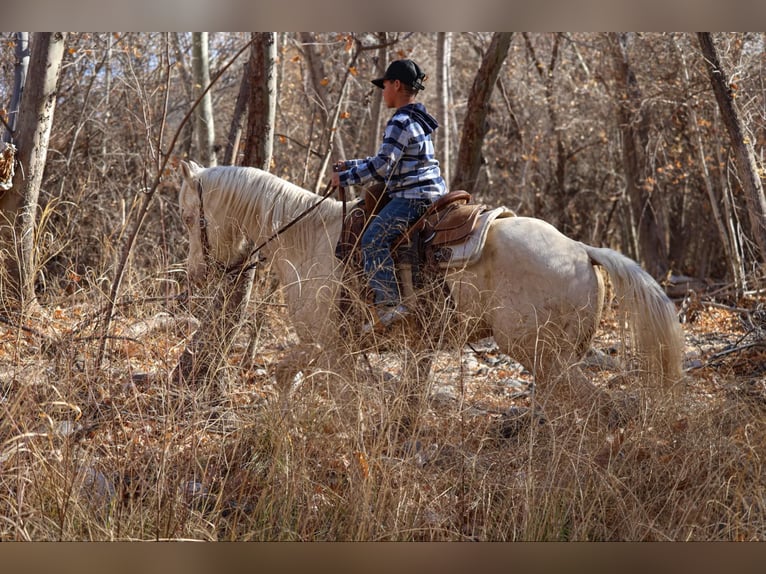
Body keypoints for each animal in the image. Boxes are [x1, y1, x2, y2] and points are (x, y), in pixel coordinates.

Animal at [177, 160, 685, 415]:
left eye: (187, 216)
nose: (198, 274)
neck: (308, 238)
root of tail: (581, 250)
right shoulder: (325, 345)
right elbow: (285, 375)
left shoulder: (331, 346)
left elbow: (342, 398)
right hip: (554, 358)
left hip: (539, 352)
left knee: (597, 406)